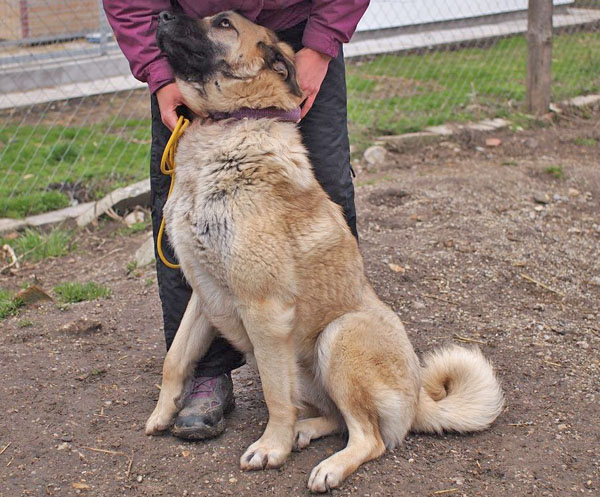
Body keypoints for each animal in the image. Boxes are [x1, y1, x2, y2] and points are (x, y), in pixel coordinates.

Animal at [148, 11, 504, 492]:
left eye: (223, 23)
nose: (162, 15)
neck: (230, 126)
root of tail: (418, 400)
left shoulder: (265, 308)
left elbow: (274, 394)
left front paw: (271, 448)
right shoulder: (205, 294)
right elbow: (176, 358)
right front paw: (162, 412)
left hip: (338, 336)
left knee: (370, 436)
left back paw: (329, 465)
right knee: (338, 418)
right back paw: (306, 431)